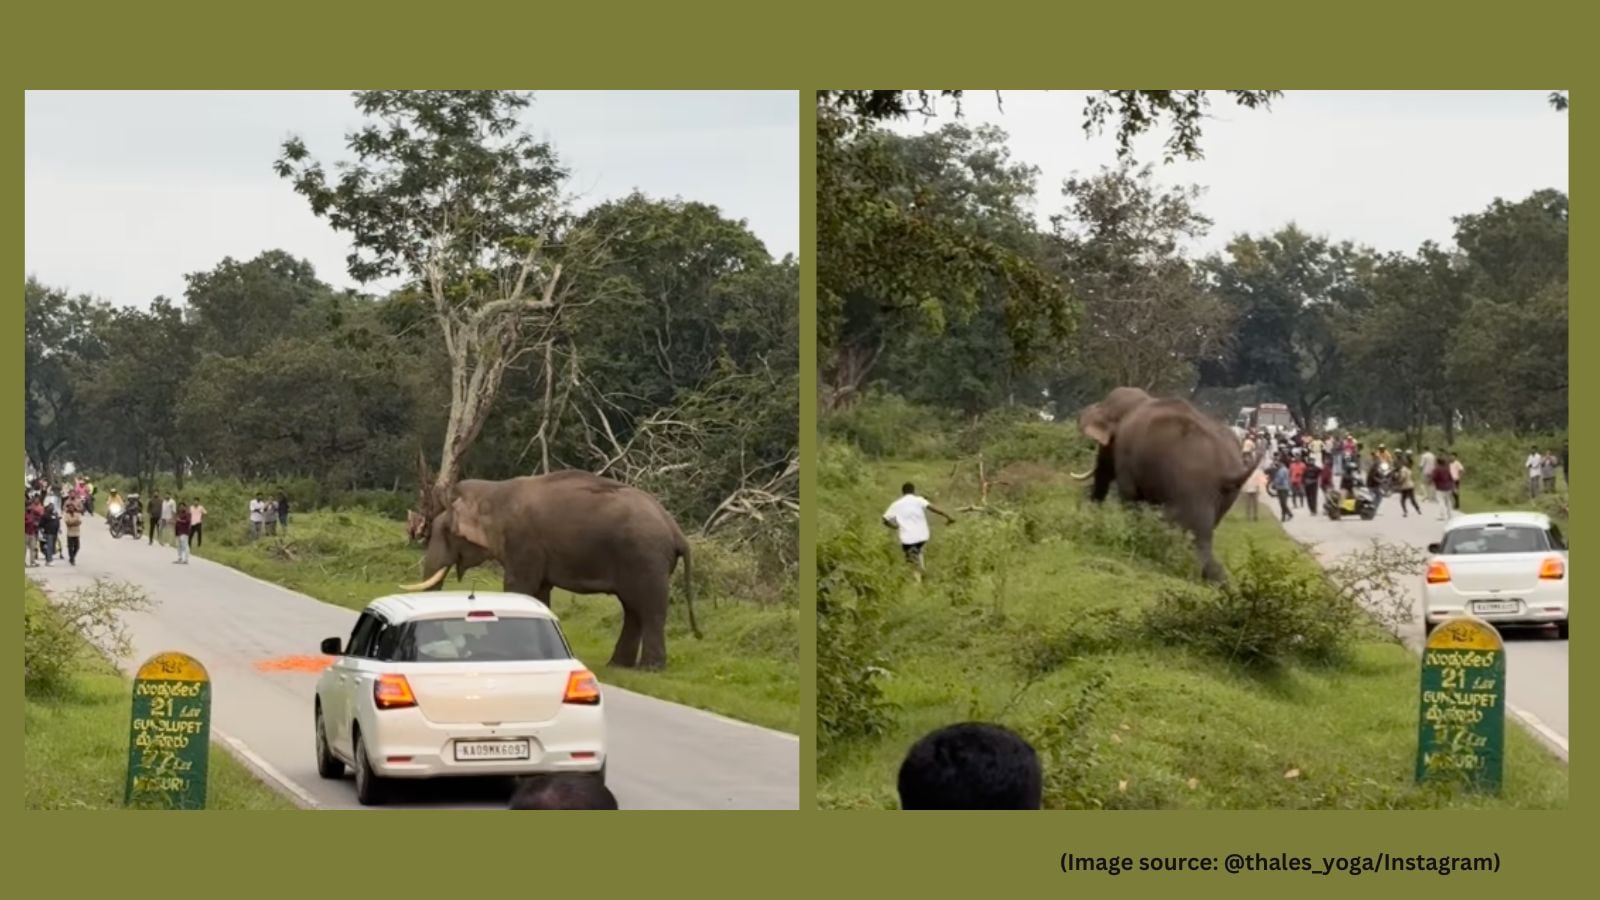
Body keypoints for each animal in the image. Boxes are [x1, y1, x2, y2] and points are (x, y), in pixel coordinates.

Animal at [401, 470, 701, 670]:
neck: (494, 492)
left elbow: (519, 587)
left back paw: (649, 669)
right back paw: (618, 666)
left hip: (646, 559)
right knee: (633, 609)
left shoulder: (523, 542)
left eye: (445, 531)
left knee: (650, 609)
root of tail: (676, 531)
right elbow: (539, 594)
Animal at [1069, 386, 1267, 583]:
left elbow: (1130, 497)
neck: (1139, 401)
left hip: (1192, 489)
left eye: (1102, 443)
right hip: (1225, 498)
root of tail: (1228, 470)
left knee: (1192, 534)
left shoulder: (1126, 458)